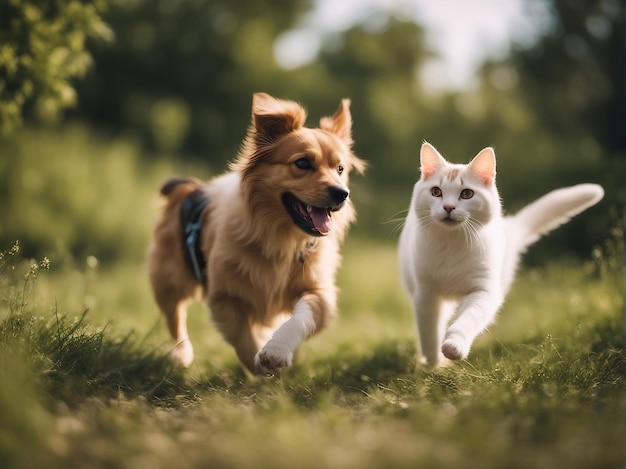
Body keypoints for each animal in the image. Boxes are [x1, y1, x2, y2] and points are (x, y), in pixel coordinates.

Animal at [147, 92, 366, 372]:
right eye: (302, 163)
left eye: (340, 169)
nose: (342, 193)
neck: (282, 238)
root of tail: (189, 188)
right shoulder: (225, 298)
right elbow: (243, 338)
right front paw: (258, 361)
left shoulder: (319, 292)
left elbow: (301, 316)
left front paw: (275, 350)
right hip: (169, 279)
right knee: (174, 315)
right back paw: (181, 353)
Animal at [398, 141, 604, 368]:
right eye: (436, 192)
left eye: (467, 194)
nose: (449, 207)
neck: (452, 244)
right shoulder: (426, 294)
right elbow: (429, 333)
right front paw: (434, 364)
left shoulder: (484, 291)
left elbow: (467, 320)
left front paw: (453, 347)